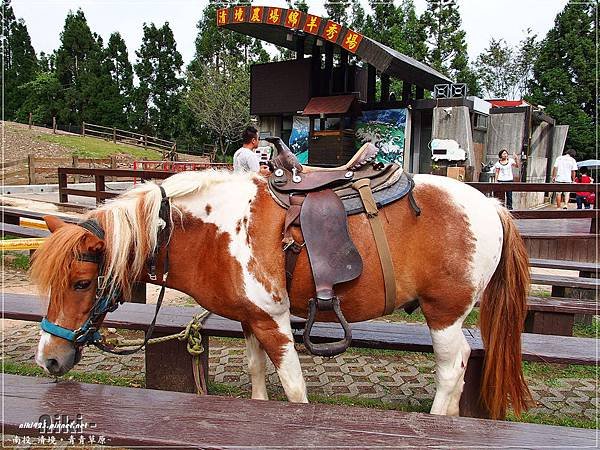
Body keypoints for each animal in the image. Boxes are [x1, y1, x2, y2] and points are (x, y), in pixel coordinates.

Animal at [30, 168, 532, 418]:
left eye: (80, 283)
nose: (48, 359)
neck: (215, 231)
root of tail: (491, 205)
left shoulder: (274, 321)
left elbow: (293, 389)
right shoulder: (250, 320)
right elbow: (257, 378)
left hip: (444, 314)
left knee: (452, 371)